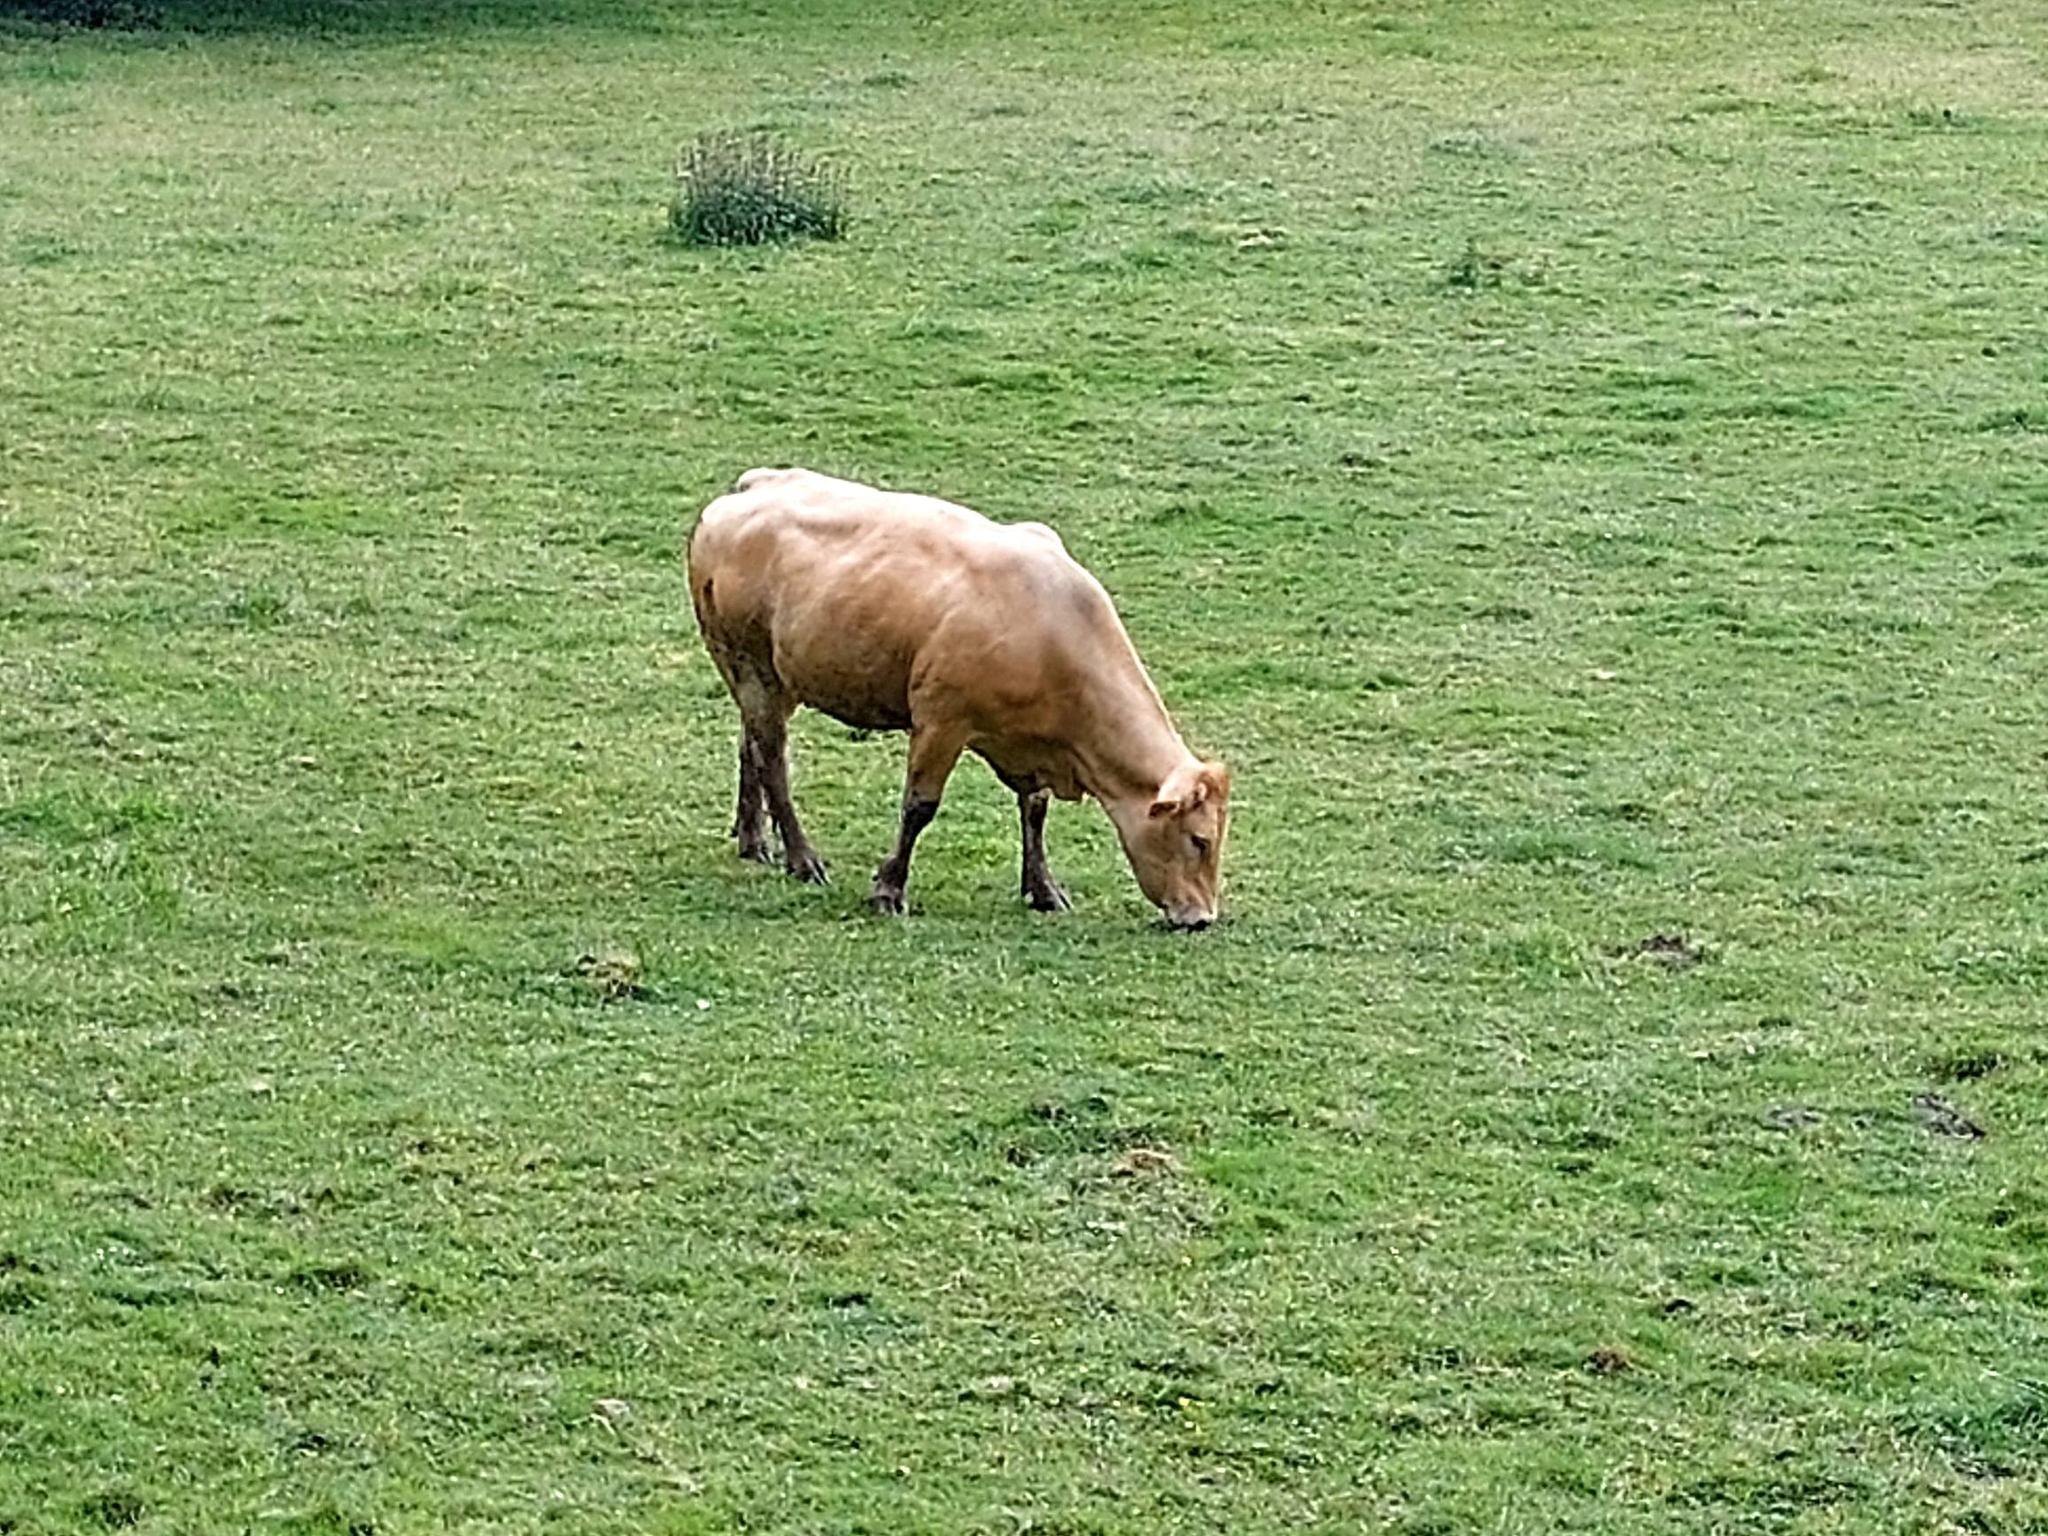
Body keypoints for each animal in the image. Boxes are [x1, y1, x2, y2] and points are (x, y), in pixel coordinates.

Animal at [686, 467, 1230, 928]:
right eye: (1199, 839)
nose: (1201, 918)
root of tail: (751, 487)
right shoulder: (940, 722)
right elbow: (919, 808)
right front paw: (889, 890)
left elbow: (1034, 809)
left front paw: (1043, 888)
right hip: (750, 665)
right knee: (773, 759)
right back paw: (802, 858)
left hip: (773, 679)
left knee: (751, 746)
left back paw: (754, 839)